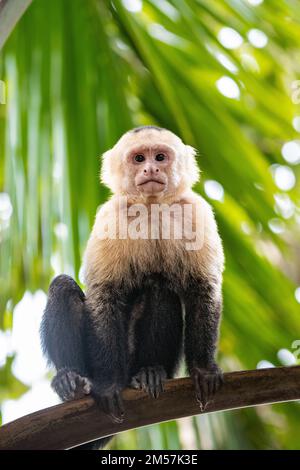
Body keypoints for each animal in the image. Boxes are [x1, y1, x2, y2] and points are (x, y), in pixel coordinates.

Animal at [41, 125, 225, 448]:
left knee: (159, 291)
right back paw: (71, 380)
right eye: (139, 158)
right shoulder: (110, 216)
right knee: (62, 287)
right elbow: (104, 294)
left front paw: (203, 370)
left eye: (160, 157)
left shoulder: (196, 212)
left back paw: (148, 372)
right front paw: (108, 385)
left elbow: (203, 288)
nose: (151, 168)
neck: (151, 208)